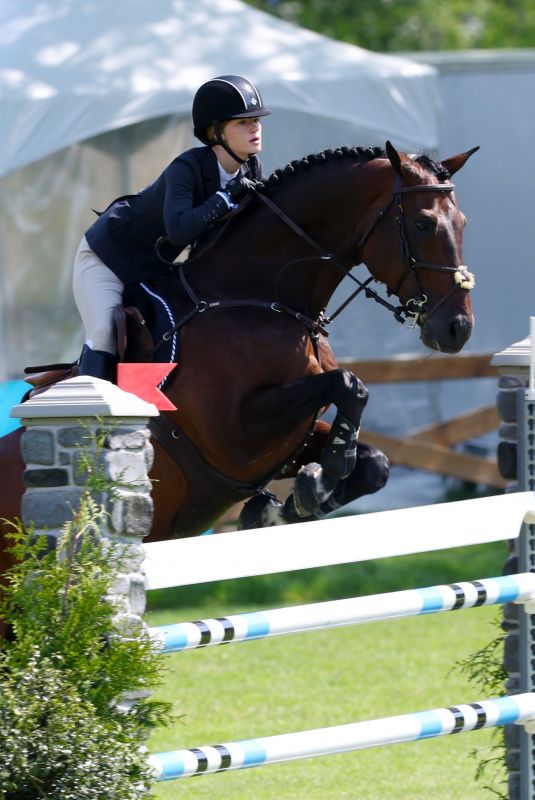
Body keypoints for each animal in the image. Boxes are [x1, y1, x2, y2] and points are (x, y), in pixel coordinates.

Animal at [0, 144, 478, 596]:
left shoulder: (285, 444)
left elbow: (374, 461)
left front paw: (292, 502)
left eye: (462, 223)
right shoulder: (235, 436)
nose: (458, 329)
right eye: (422, 224)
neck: (260, 296)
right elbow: (349, 385)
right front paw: (324, 476)